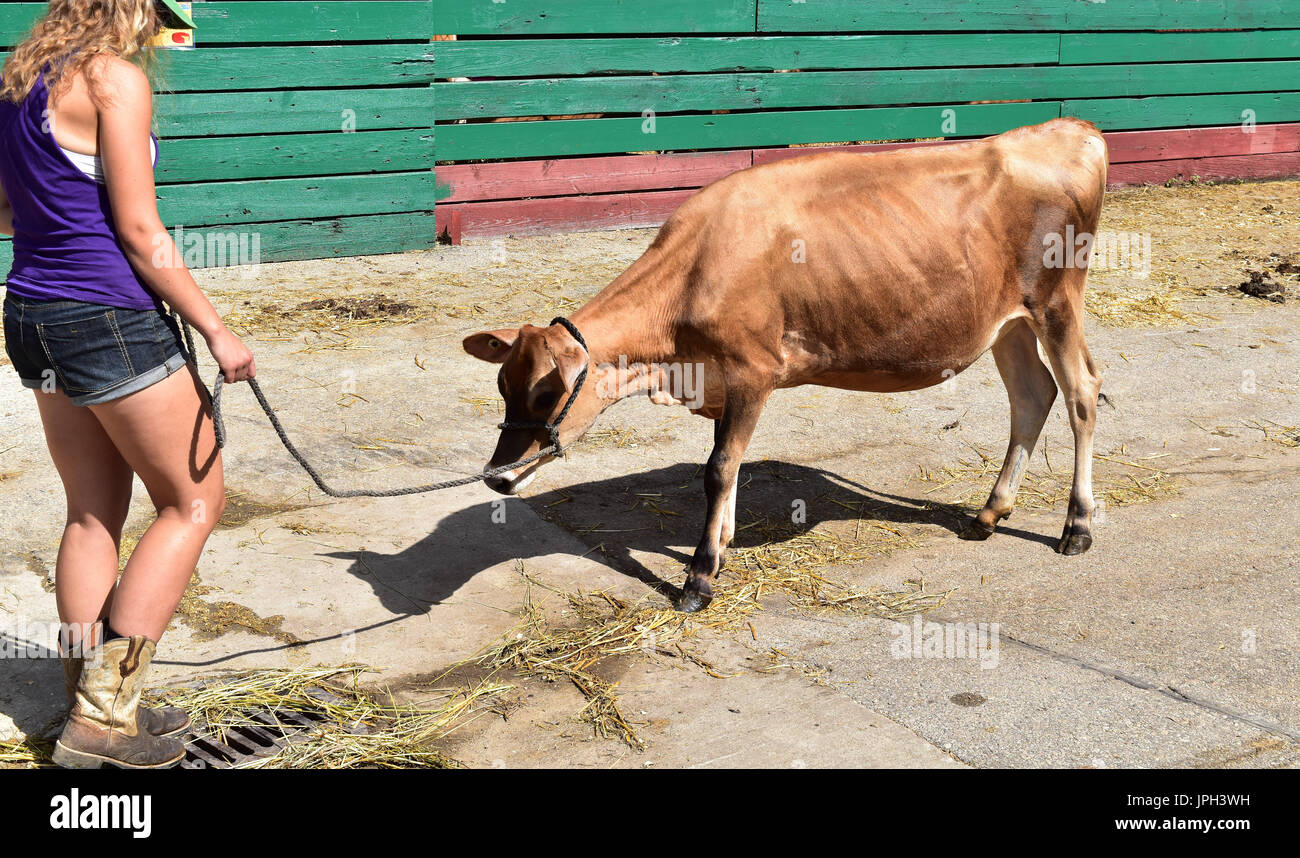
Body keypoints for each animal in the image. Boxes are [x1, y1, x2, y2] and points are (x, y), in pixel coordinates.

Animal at [465, 118, 1107, 611]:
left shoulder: (751, 370)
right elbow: (727, 466)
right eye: (502, 384)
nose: (496, 477)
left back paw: (1076, 527)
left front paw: (699, 577)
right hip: (1007, 323)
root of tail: (1065, 130)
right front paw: (722, 548)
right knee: (1031, 397)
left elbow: (719, 468)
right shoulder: (723, 379)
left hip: (1056, 302)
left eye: (546, 393)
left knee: (1081, 392)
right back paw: (989, 514)